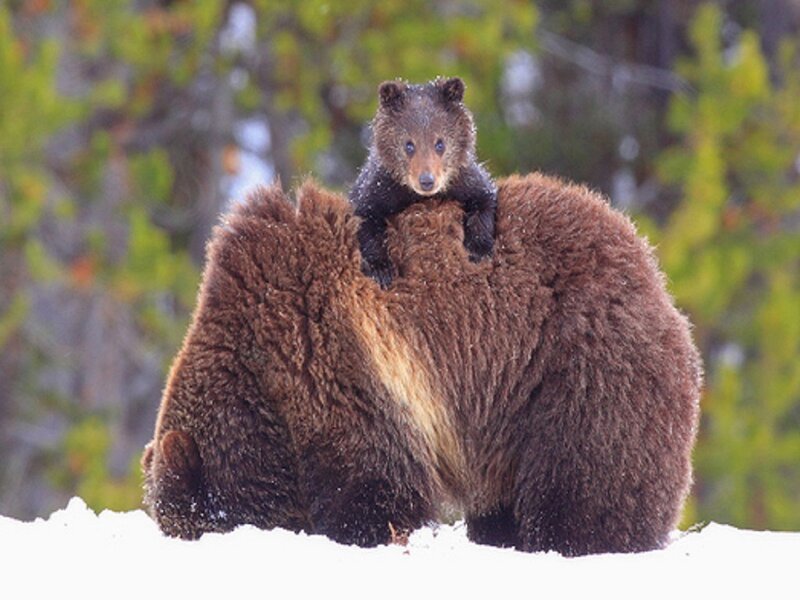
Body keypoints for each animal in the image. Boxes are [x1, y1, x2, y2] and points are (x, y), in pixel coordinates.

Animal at [141, 173, 702, 556]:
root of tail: (648, 265)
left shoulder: (344, 362)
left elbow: (374, 486)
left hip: (576, 365)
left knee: (584, 483)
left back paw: (576, 541)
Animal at [349, 76, 497, 288]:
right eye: (409, 144)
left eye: (440, 143)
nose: (427, 181)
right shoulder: (381, 188)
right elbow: (364, 217)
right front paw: (381, 270)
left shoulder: (463, 181)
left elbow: (484, 199)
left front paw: (478, 251)